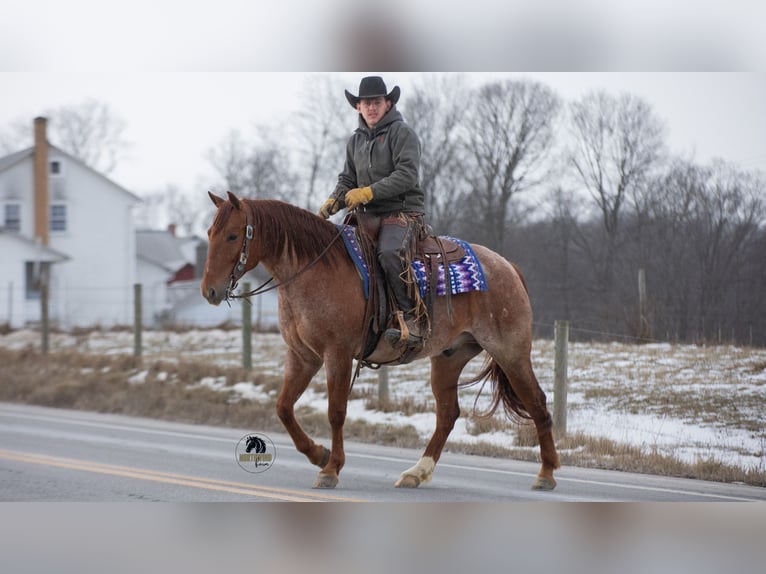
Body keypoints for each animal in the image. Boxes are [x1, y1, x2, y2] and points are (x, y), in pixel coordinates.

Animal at [201, 192, 560, 491]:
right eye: (209, 234)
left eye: (233, 235)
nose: (210, 291)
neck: (312, 270)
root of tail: (507, 266)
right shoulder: (302, 356)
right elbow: (283, 407)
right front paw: (319, 454)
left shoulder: (337, 354)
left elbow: (336, 411)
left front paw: (331, 469)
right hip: (449, 357)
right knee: (447, 414)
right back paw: (417, 473)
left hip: (510, 352)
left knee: (537, 403)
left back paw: (546, 474)